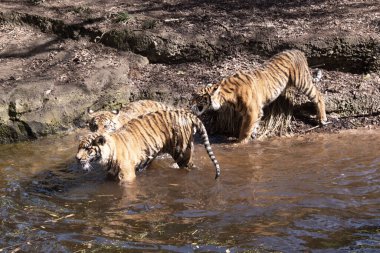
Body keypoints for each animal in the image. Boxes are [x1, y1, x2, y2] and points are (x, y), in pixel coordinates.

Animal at [75, 108, 221, 182]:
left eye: (87, 149)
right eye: (79, 147)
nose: (77, 158)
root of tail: (187, 114)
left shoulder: (127, 175)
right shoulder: (111, 174)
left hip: (182, 153)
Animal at [191, 49, 328, 143]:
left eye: (197, 97)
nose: (190, 105)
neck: (226, 97)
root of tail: (298, 51)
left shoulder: (252, 111)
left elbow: (244, 130)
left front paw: (239, 144)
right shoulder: (256, 112)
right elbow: (253, 126)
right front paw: (254, 137)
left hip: (302, 81)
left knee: (319, 95)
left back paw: (322, 119)